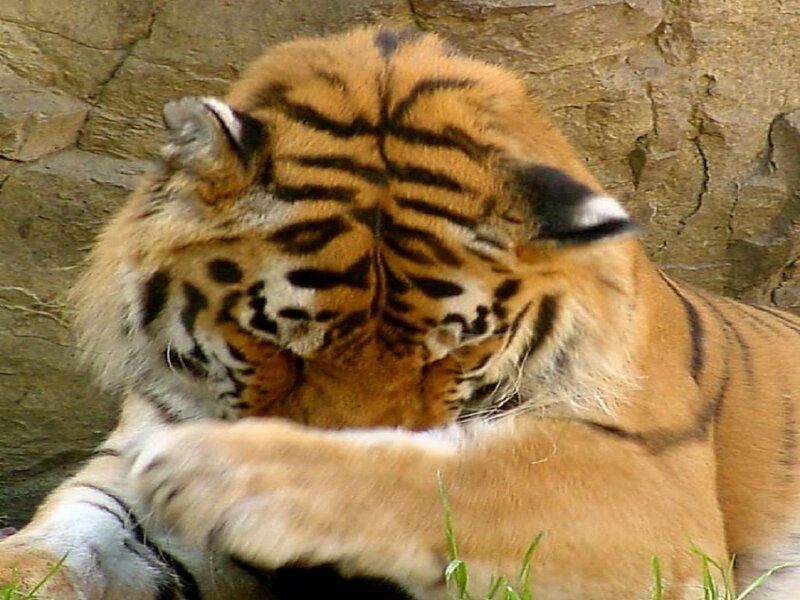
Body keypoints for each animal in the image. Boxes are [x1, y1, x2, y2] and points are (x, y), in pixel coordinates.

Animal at [2, 24, 800, 600]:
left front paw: (229, 473)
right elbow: (61, 544)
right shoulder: (124, 479)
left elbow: (463, 480)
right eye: (276, 345)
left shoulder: (653, 493)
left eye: (453, 354)